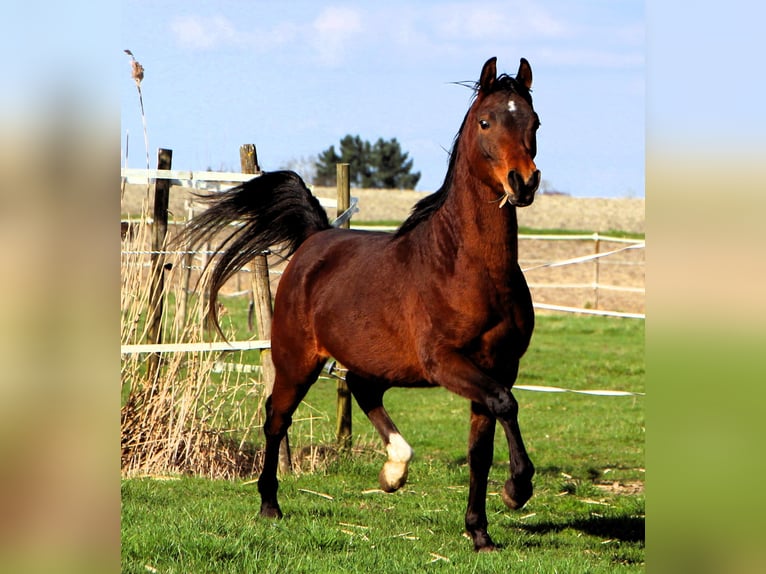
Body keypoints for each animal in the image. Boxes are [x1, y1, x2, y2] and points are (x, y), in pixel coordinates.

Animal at [180, 56, 541, 551]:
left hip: (376, 361)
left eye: (535, 122)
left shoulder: (501, 366)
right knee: (276, 418)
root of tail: (316, 237)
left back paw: (394, 469)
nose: (523, 182)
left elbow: (480, 450)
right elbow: (507, 406)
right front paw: (516, 489)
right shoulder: (446, 362)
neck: (467, 268)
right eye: (486, 121)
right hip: (297, 360)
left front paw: (479, 531)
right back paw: (270, 505)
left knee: (360, 387)